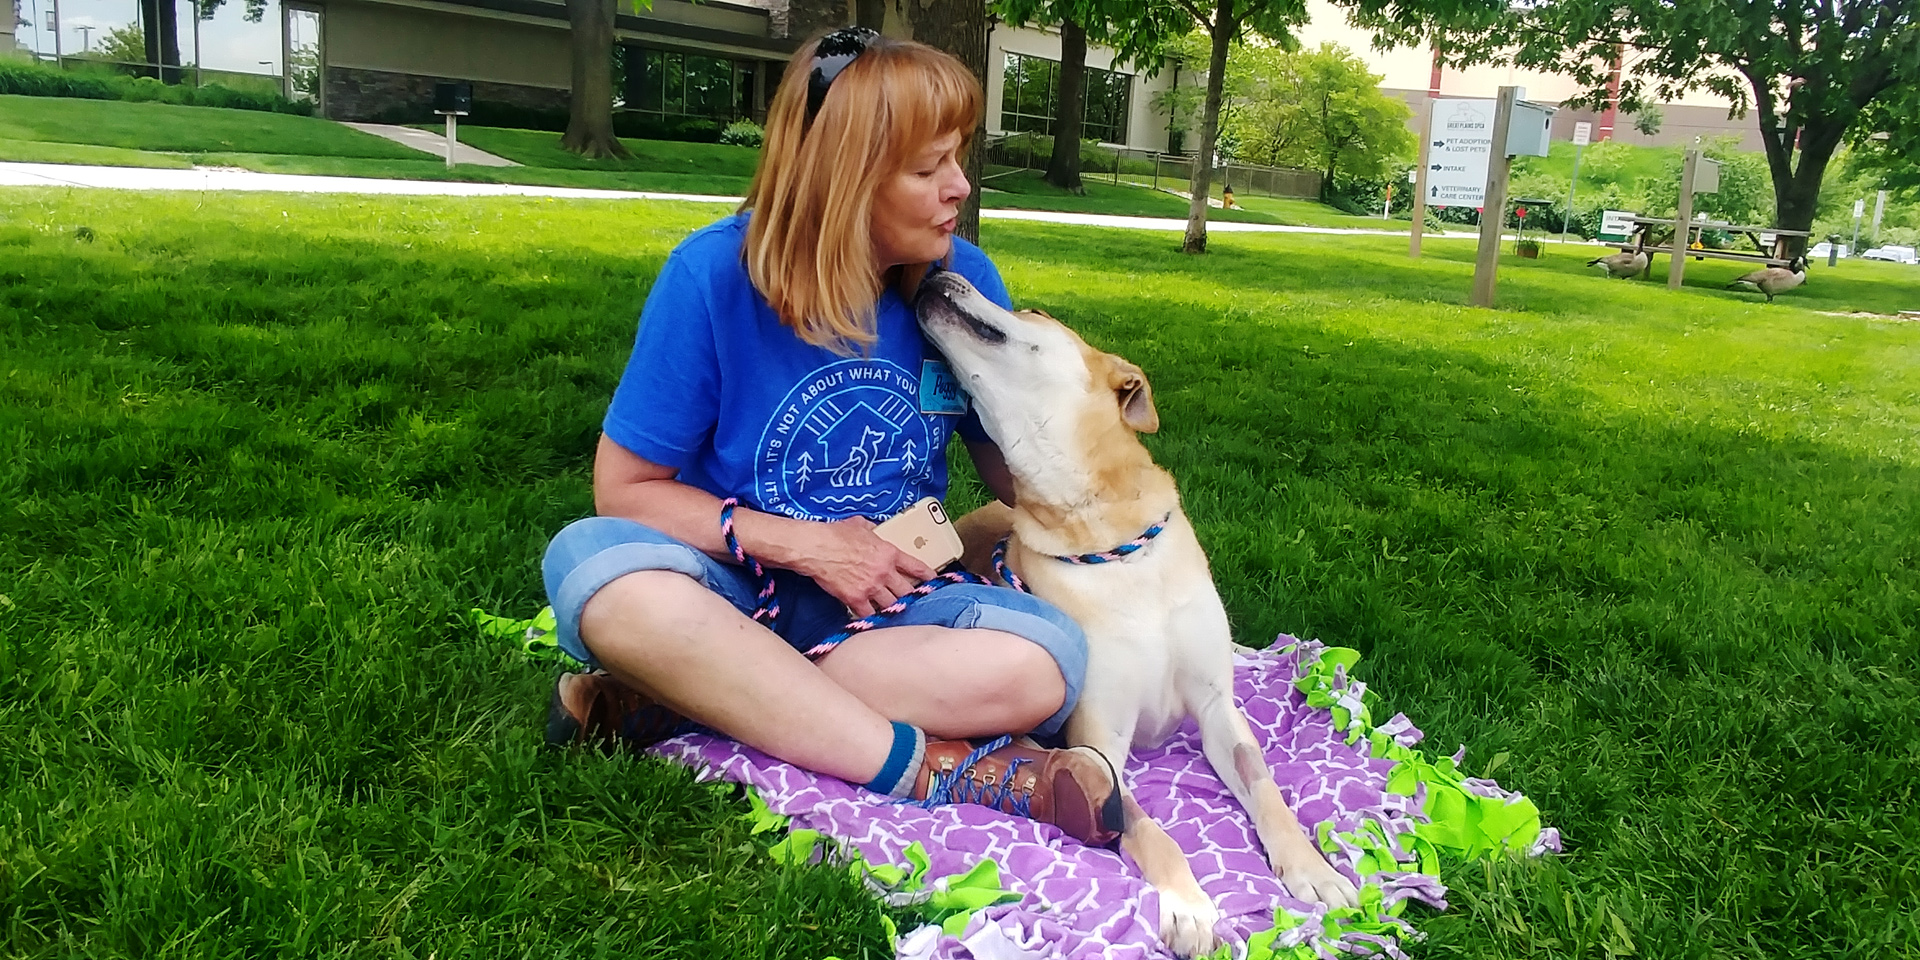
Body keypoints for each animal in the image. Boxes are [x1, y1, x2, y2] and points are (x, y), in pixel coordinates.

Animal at [917, 274, 1359, 956]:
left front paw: (1314, 869)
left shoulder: (1217, 709)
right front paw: (1189, 905)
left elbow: (1265, 786)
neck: (1105, 535)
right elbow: (1152, 830)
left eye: (1033, 311)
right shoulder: (1100, 741)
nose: (935, 276)